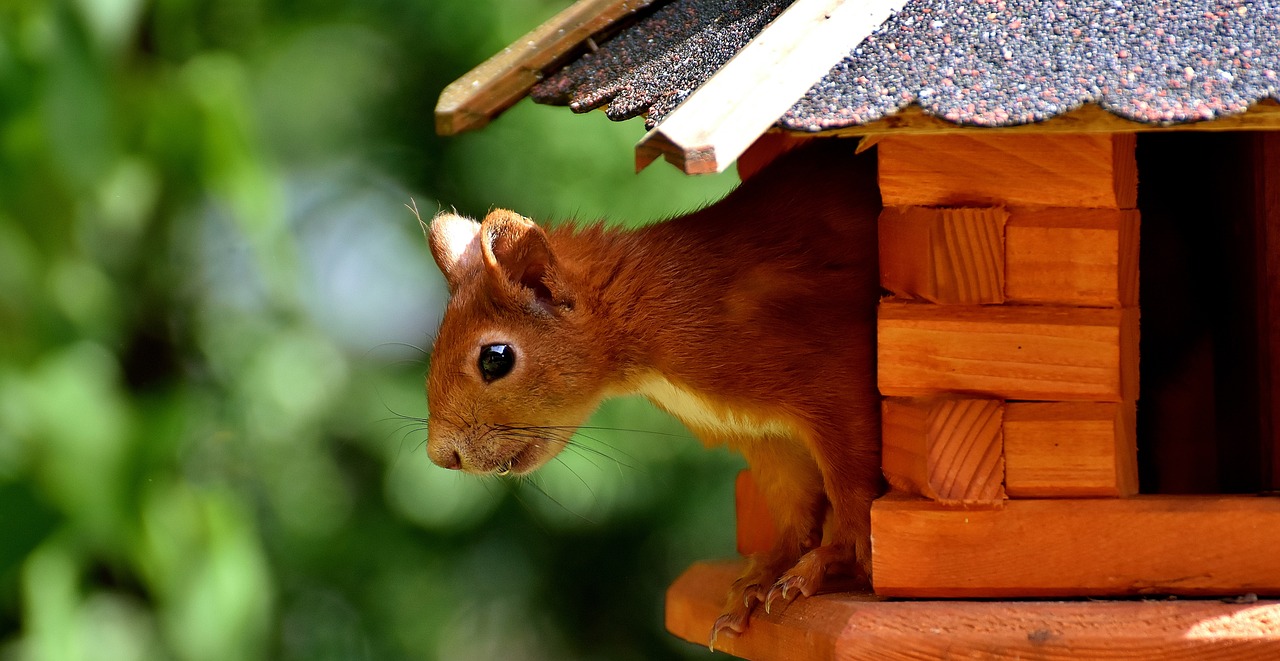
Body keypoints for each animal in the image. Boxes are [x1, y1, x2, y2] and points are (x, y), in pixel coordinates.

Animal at [424, 139, 885, 640]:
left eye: (496, 358)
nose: (441, 456)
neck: (645, 311)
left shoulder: (835, 384)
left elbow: (853, 495)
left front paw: (827, 562)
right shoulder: (767, 438)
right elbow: (794, 510)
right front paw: (764, 574)